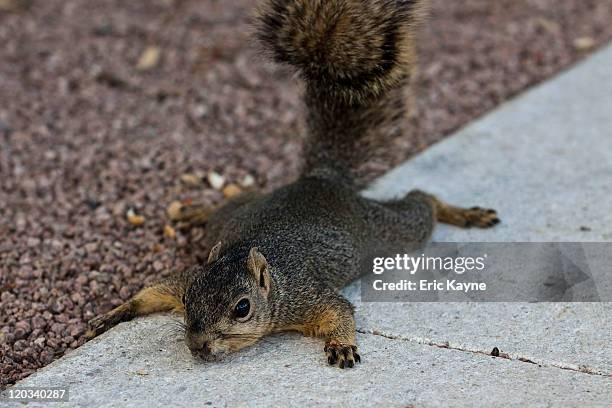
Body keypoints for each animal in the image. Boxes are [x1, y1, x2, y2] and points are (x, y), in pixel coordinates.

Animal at [85, 0, 498, 370]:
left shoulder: (306, 296)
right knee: (241, 198)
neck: (270, 278)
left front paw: (342, 345)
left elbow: (340, 310)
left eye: (242, 308)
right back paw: (197, 210)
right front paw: (115, 312)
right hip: (235, 214)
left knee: (420, 203)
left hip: (388, 231)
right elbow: (154, 290)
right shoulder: (188, 276)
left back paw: (463, 213)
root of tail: (319, 180)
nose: (198, 347)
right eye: (188, 299)